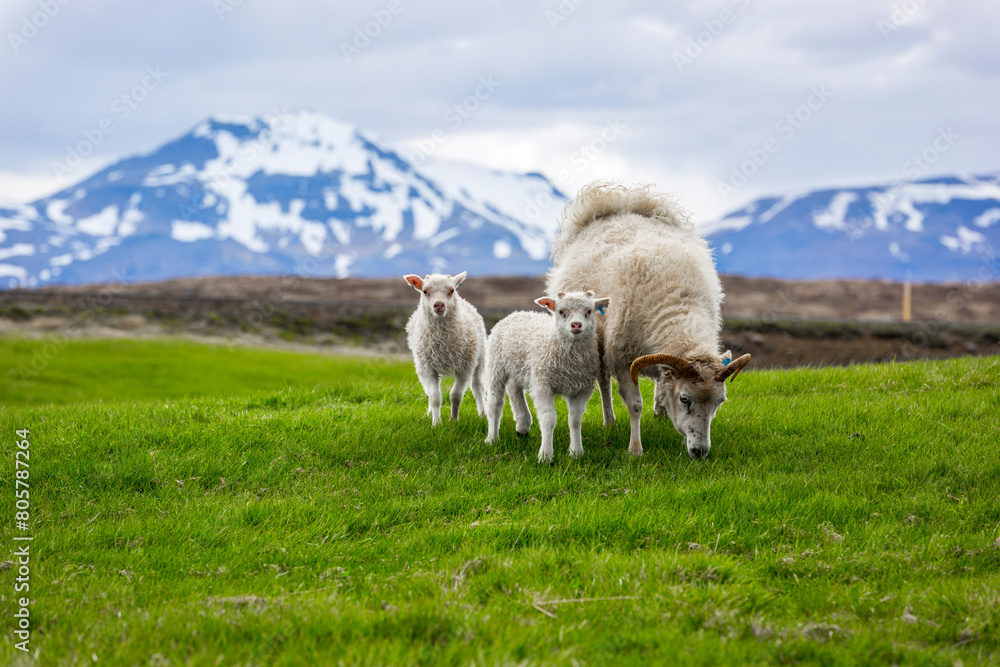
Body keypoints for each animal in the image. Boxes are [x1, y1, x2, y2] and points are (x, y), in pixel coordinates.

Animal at [404, 271, 487, 425]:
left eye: (451, 290)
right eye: (425, 291)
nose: (439, 305)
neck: (443, 342)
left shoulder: (464, 367)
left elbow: (455, 395)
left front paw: (453, 419)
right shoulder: (427, 368)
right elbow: (435, 397)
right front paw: (436, 423)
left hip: (480, 357)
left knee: (477, 386)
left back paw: (483, 414)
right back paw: (429, 414)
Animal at [484, 290, 611, 463]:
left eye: (589, 311)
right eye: (561, 311)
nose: (576, 325)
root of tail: (516, 313)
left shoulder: (583, 389)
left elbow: (575, 420)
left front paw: (576, 452)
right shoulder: (542, 384)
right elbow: (549, 419)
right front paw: (545, 456)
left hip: (518, 367)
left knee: (514, 389)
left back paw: (522, 425)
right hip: (496, 365)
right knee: (494, 403)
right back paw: (492, 438)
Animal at [546, 182, 751, 459]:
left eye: (719, 403)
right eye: (685, 399)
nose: (700, 452)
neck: (678, 305)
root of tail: (615, 204)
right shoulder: (622, 358)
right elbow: (634, 406)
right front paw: (635, 449)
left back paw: (659, 410)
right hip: (594, 339)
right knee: (603, 381)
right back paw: (610, 421)